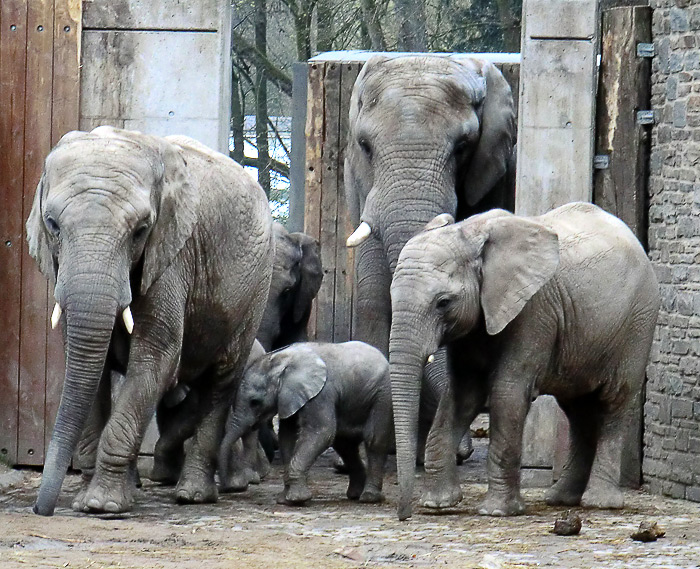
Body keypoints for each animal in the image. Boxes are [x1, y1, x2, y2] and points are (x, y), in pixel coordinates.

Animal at [24, 125, 272, 516]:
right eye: (52, 224)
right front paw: (92, 499)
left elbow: (155, 358)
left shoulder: (172, 259)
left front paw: (102, 506)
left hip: (257, 287)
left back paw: (191, 495)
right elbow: (87, 366)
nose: (40, 509)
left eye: (141, 230)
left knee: (221, 380)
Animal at [227, 340, 396, 504]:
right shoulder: (290, 397)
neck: (282, 360)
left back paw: (369, 497)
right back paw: (354, 495)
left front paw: (297, 499)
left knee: (372, 440)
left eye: (255, 402)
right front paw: (284, 500)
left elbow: (322, 432)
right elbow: (288, 436)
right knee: (344, 444)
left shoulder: (321, 393)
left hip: (383, 396)